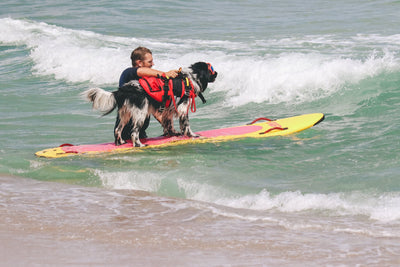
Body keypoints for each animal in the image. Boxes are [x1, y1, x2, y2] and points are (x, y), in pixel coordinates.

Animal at [82, 62, 217, 148]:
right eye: (211, 70)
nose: (217, 73)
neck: (192, 76)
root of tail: (124, 89)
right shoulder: (183, 106)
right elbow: (187, 124)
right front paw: (192, 135)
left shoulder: (169, 109)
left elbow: (170, 124)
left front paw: (175, 133)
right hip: (141, 113)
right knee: (134, 132)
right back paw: (139, 145)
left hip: (125, 114)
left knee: (117, 129)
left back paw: (120, 143)